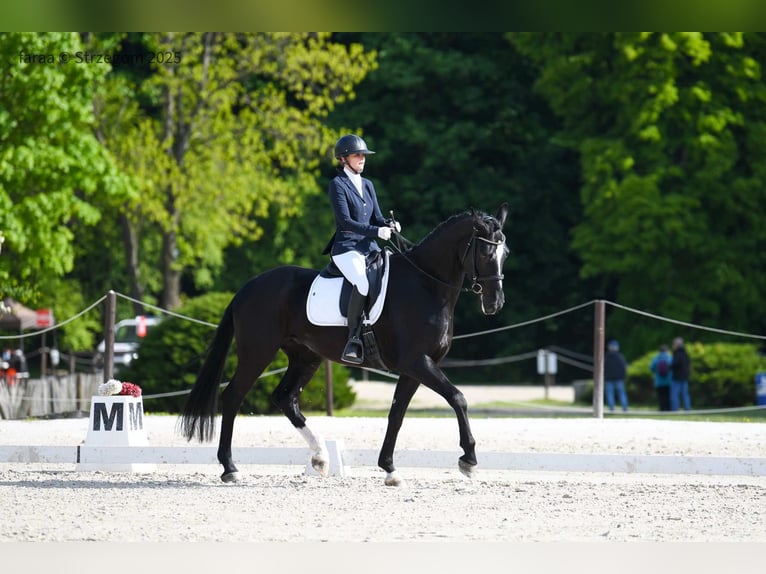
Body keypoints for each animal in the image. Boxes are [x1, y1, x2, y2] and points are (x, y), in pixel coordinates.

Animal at [180, 203, 509, 486]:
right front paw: (468, 459)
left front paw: (390, 469)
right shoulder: (417, 362)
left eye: (504, 253)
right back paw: (230, 468)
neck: (426, 286)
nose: (495, 303)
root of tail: (248, 287)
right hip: (258, 352)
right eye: (484, 251)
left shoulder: (415, 368)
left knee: (285, 398)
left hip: (306, 356)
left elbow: (396, 414)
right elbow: (458, 398)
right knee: (233, 396)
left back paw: (320, 457)